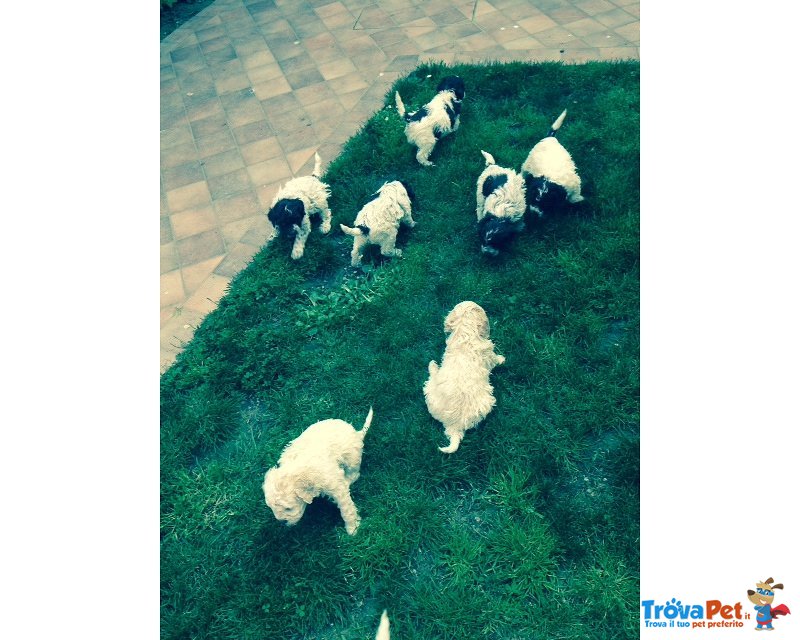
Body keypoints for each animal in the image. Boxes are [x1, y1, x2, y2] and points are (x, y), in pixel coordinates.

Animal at [264, 404, 374, 536]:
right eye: (271, 508)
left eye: (288, 508)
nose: (282, 522)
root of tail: (356, 433)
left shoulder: (335, 486)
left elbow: (346, 509)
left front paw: (353, 528)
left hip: (352, 458)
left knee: (354, 474)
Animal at [422, 302, 504, 456]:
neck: (464, 332)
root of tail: (453, 425)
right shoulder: (489, 354)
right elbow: (495, 359)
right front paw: (502, 359)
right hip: (486, 402)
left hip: (431, 394)